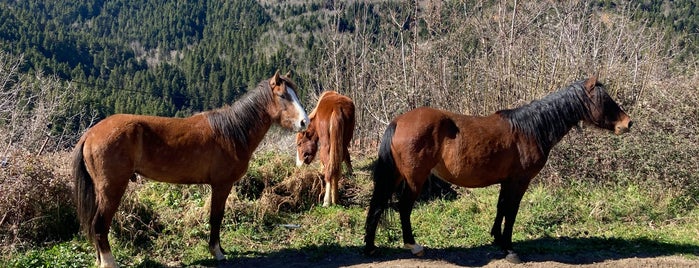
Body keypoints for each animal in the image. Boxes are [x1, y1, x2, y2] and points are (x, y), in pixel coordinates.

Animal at [73, 70, 308, 266]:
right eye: (283, 96)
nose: (305, 122)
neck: (232, 132)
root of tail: (90, 134)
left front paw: (220, 249)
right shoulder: (221, 185)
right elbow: (216, 217)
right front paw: (217, 252)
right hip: (112, 189)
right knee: (100, 224)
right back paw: (109, 262)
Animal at [366, 76, 636, 262]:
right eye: (605, 100)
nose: (628, 123)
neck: (530, 129)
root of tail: (398, 121)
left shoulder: (506, 181)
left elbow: (501, 208)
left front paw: (496, 238)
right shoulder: (520, 181)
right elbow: (512, 211)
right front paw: (509, 248)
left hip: (395, 175)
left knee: (377, 205)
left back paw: (371, 246)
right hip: (414, 179)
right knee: (403, 207)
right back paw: (413, 246)